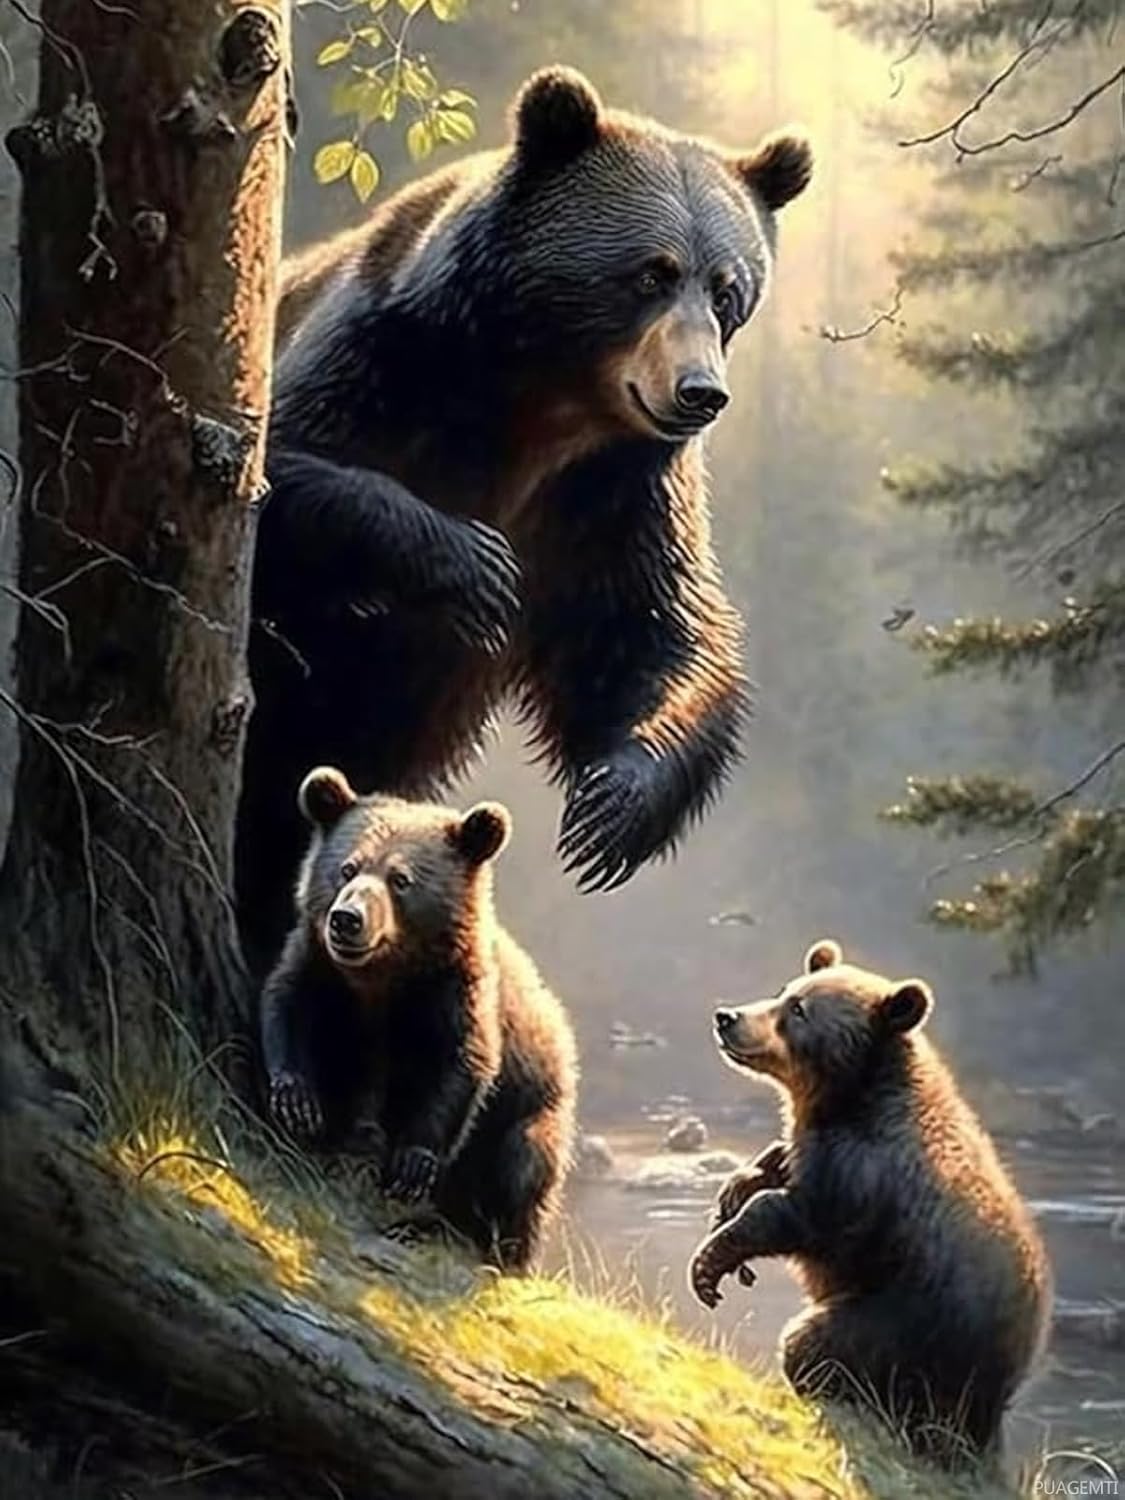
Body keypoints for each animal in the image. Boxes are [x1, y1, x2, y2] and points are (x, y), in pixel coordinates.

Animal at [236, 66, 813, 973]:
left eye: (728, 289)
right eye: (650, 273)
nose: (699, 393)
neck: (541, 398)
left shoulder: (609, 489)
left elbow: (654, 629)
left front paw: (610, 811)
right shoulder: (379, 356)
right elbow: (286, 473)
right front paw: (471, 567)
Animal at [260, 765, 578, 1272]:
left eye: (401, 879)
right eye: (347, 868)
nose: (346, 919)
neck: (383, 979)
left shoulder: (454, 991)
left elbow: (462, 1065)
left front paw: (412, 1164)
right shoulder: (320, 966)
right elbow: (284, 1004)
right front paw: (297, 1102)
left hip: (532, 1111)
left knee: (522, 1170)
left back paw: (491, 1246)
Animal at [688, 939, 1051, 1465]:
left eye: (798, 1010)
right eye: (785, 990)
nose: (727, 1017)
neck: (848, 1098)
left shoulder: (860, 1176)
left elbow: (797, 1217)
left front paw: (710, 1264)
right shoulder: (814, 1145)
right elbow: (777, 1164)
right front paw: (734, 1190)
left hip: (902, 1327)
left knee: (812, 1344)